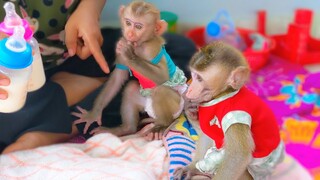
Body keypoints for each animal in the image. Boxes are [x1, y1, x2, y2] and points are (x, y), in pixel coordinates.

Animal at [72, 0, 188, 138]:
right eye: (128, 23)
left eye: (138, 26)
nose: (130, 33)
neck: (138, 45)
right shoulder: (122, 45)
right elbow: (116, 80)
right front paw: (93, 115)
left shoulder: (151, 49)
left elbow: (162, 75)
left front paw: (129, 54)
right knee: (130, 89)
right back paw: (126, 130)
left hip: (176, 106)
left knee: (161, 91)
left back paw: (162, 125)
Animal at [174, 41, 284, 179]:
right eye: (193, 76)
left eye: (199, 78)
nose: (189, 90)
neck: (223, 95)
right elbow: (206, 134)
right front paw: (192, 168)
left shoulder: (235, 116)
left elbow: (237, 157)